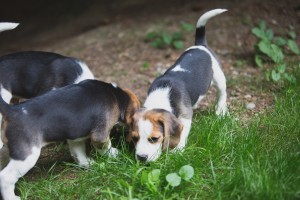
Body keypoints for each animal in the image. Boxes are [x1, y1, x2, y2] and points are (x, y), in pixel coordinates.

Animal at [0, 79, 141, 199]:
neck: (115, 95)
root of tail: (11, 110)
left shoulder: (75, 138)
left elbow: (79, 153)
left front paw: (88, 164)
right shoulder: (100, 136)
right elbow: (106, 147)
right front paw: (115, 154)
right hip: (27, 156)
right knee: (5, 177)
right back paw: (11, 197)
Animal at [127, 9, 229, 162]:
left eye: (154, 138)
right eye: (135, 138)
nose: (141, 158)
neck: (162, 94)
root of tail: (200, 45)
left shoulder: (185, 118)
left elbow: (181, 135)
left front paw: (177, 151)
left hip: (218, 76)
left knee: (222, 93)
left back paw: (220, 111)